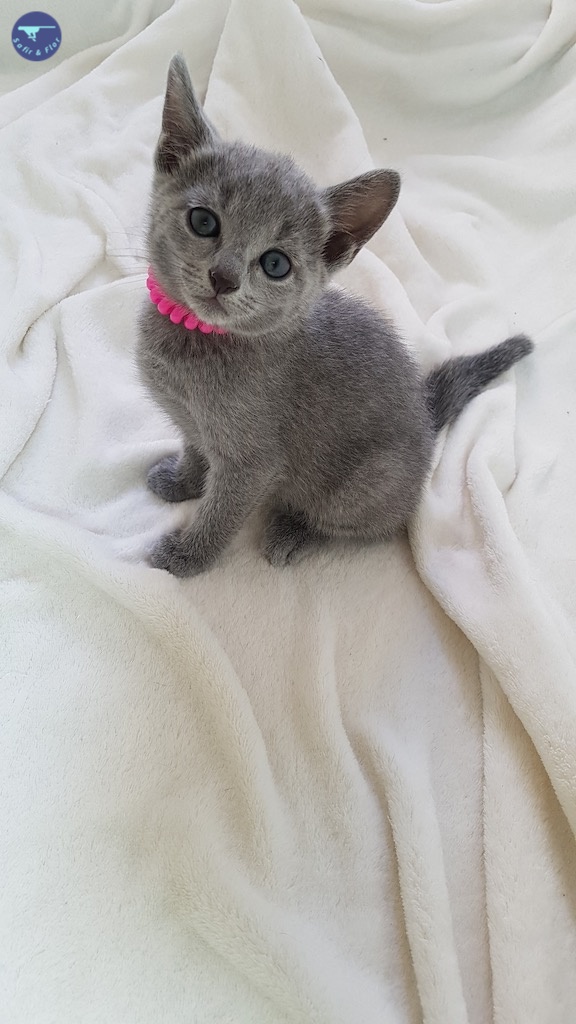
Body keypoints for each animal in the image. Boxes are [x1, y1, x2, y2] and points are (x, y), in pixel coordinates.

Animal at [136, 54, 533, 578]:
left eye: (275, 264)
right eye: (203, 221)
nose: (224, 277)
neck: (194, 340)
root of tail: (427, 417)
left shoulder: (252, 462)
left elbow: (221, 512)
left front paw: (186, 556)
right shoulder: (193, 423)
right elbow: (195, 450)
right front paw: (184, 480)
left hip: (363, 483)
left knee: (369, 526)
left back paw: (293, 531)